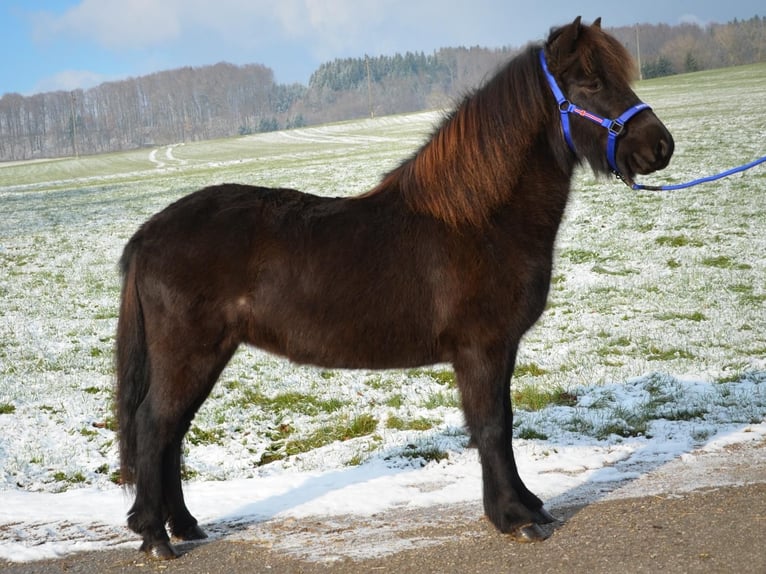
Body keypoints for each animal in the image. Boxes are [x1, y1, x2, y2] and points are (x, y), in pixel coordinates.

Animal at [116, 17, 674, 559]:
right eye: (590, 82)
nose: (660, 145)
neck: (478, 220)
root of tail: (149, 234)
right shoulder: (482, 349)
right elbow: (493, 426)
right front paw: (514, 517)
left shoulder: (501, 349)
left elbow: (502, 421)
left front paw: (528, 505)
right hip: (189, 354)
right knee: (155, 427)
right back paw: (156, 536)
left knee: (171, 432)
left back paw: (184, 525)